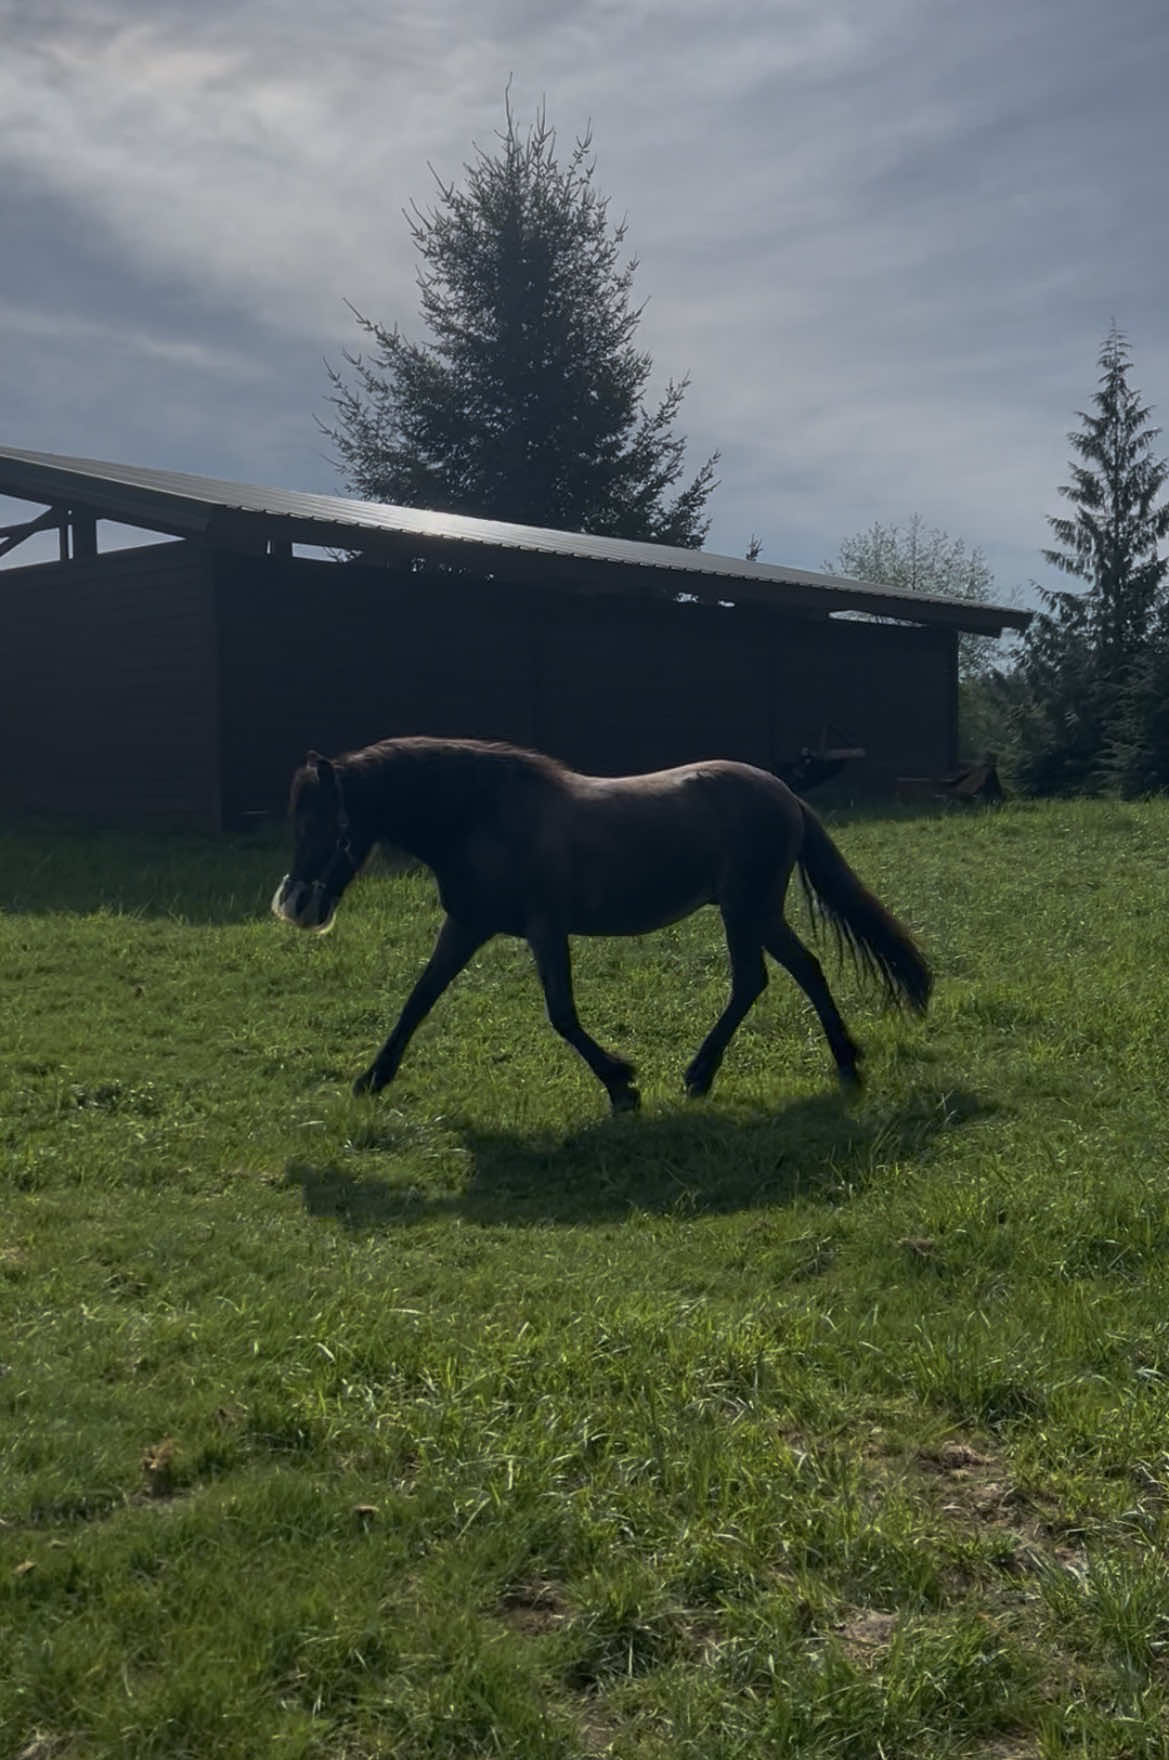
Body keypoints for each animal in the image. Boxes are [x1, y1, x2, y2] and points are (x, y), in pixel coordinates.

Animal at [271, 736, 931, 1113]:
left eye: (323, 822)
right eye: (296, 821)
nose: (296, 906)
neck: (484, 816)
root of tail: (785, 793)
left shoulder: (545, 928)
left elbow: (562, 1015)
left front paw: (621, 1085)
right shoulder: (467, 924)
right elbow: (419, 998)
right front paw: (372, 1079)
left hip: (746, 909)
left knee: (754, 980)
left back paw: (701, 1074)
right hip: (758, 911)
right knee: (802, 971)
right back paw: (842, 1062)